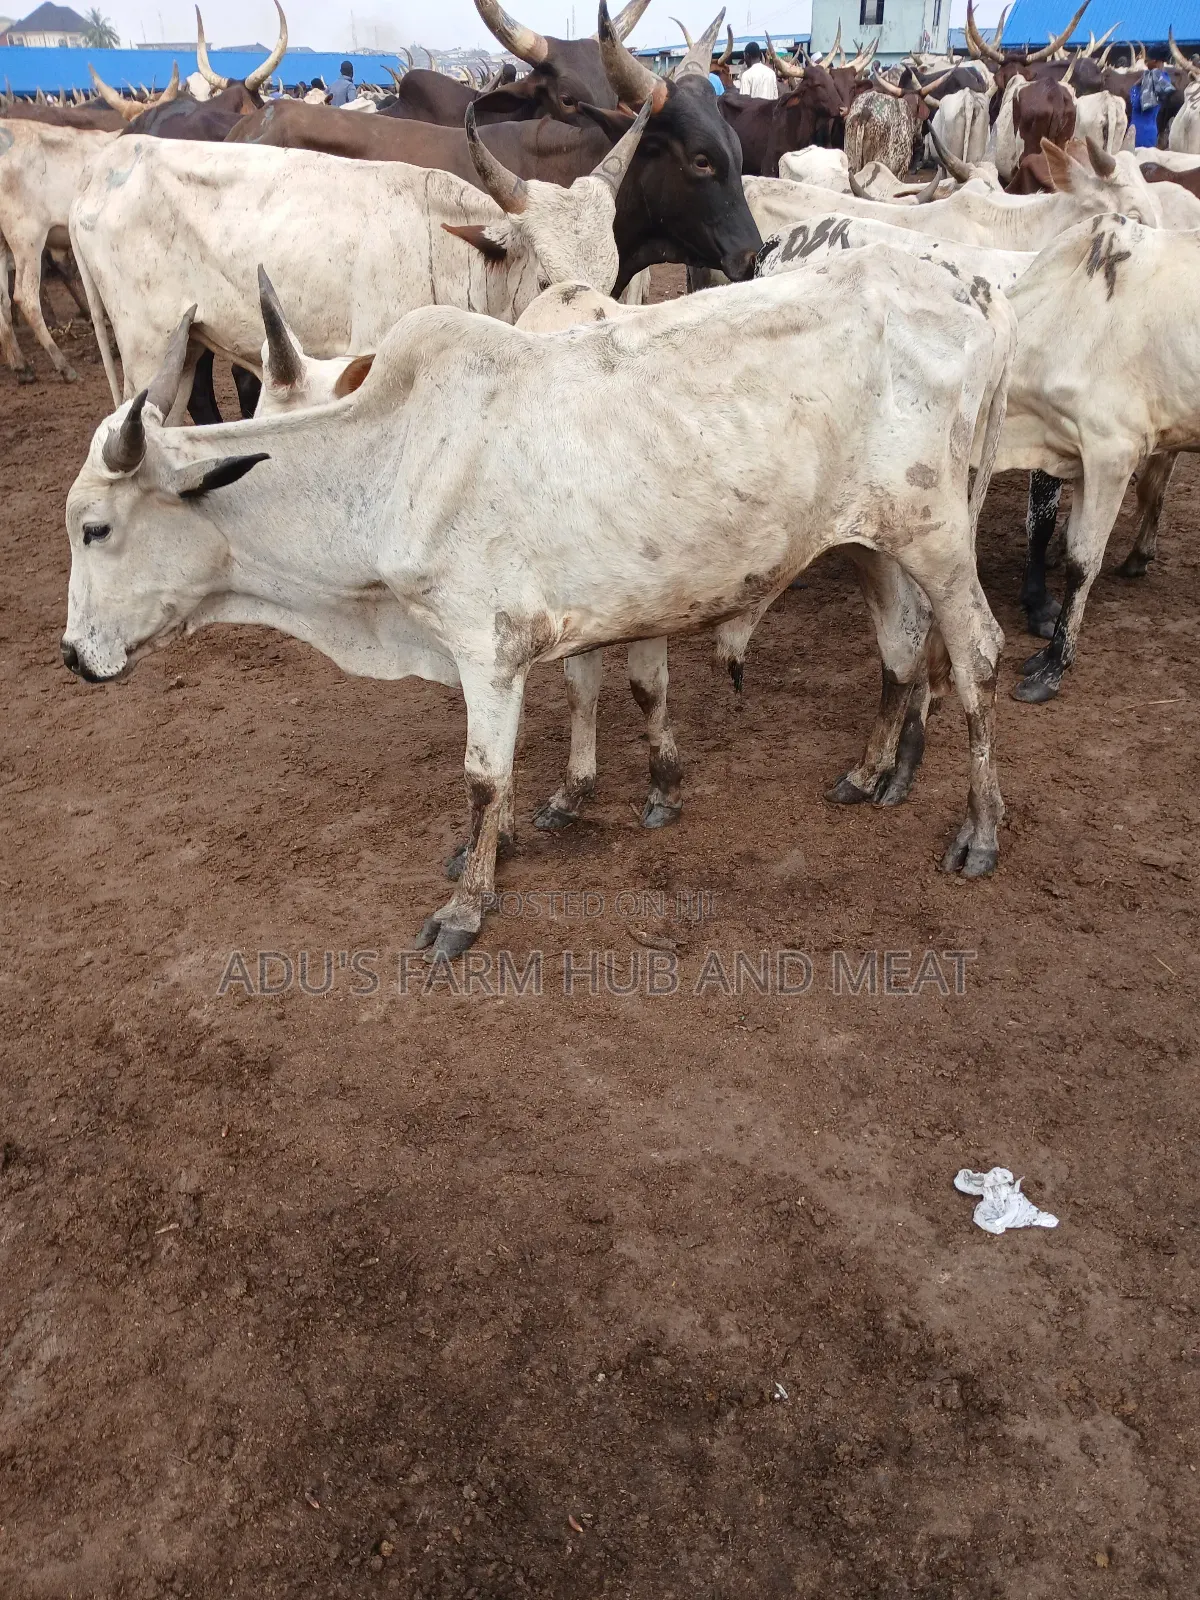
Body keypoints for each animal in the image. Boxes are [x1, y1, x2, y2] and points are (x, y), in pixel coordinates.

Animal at [62, 245, 1015, 960]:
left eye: (96, 529)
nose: (73, 655)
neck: (392, 460)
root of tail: (965, 290)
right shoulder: (531, 638)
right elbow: (548, 733)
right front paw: (525, 829)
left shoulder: (484, 645)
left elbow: (484, 776)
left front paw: (466, 905)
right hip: (869, 543)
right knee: (901, 645)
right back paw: (868, 772)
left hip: (937, 536)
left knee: (976, 655)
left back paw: (980, 831)